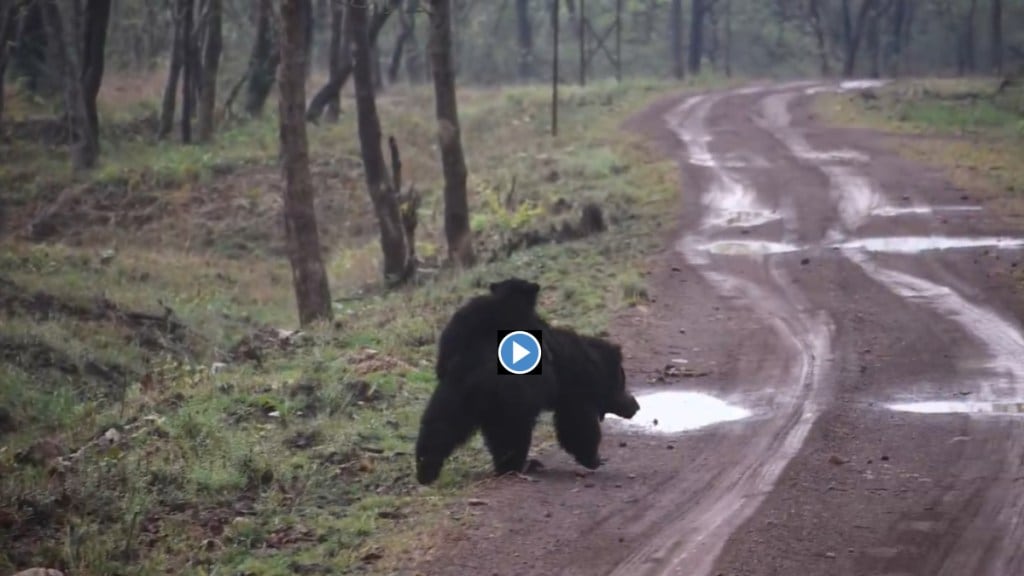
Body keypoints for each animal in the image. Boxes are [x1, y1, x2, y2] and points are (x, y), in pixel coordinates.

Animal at [414, 278, 640, 485]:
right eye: (622, 381)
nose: (635, 405)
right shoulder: (571, 389)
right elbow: (577, 423)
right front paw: (593, 458)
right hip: (509, 400)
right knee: (512, 435)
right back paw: (519, 465)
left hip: (453, 395)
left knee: (438, 428)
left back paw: (426, 470)